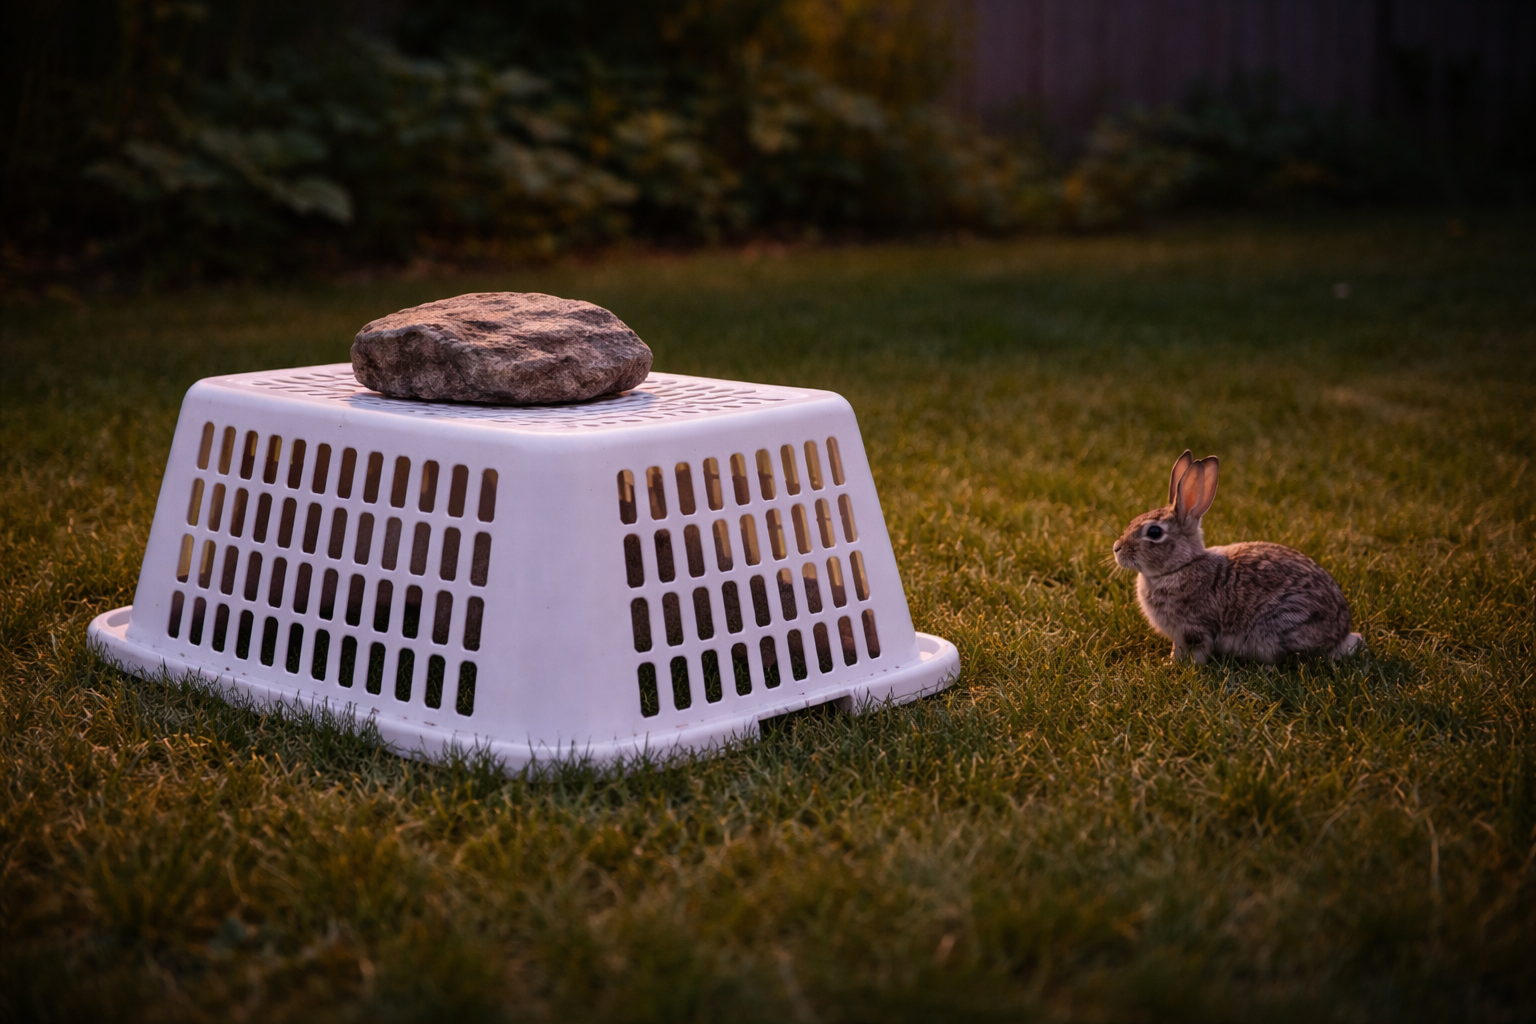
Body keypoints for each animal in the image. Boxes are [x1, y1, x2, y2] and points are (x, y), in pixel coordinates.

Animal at [1112, 450, 1363, 664]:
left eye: (1154, 532)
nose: (1116, 548)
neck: (1181, 566)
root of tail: (1340, 636)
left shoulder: (1194, 628)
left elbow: (1196, 651)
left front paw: (1177, 666)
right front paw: (1170, 661)